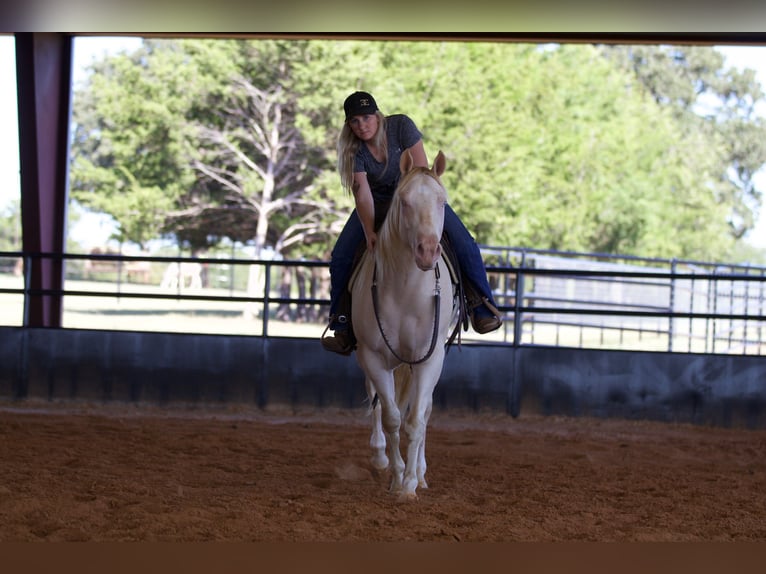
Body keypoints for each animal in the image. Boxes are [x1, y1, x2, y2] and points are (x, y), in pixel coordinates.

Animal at [352, 151, 460, 502]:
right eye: (405, 201)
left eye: (442, 201)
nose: (427, 250)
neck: (406, 290)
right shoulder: (372, 357)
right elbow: (391, 418)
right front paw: (397, 476)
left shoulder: (429, 358)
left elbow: (414, 422)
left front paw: (410, 483)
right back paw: (381, 458)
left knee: (422, 413)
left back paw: (420, 474)